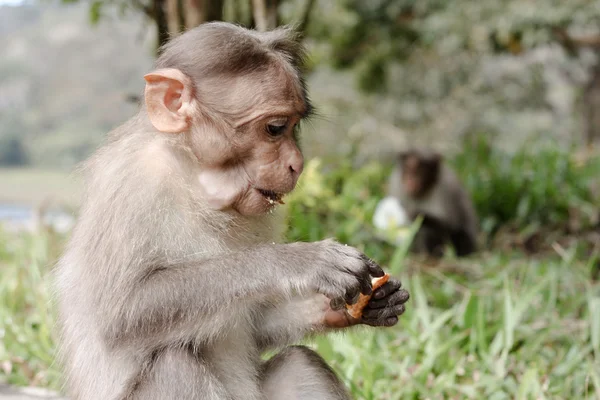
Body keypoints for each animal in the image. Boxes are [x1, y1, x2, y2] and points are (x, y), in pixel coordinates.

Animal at [54, 22, 410, 400]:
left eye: (293, 127)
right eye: (275, 128)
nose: (297, 164)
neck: (193, 179)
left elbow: (256, 326)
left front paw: (351, 307)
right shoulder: (130, 185)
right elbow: (121, 313)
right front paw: (298, 261)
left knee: (301, 363)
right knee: (173, 364)